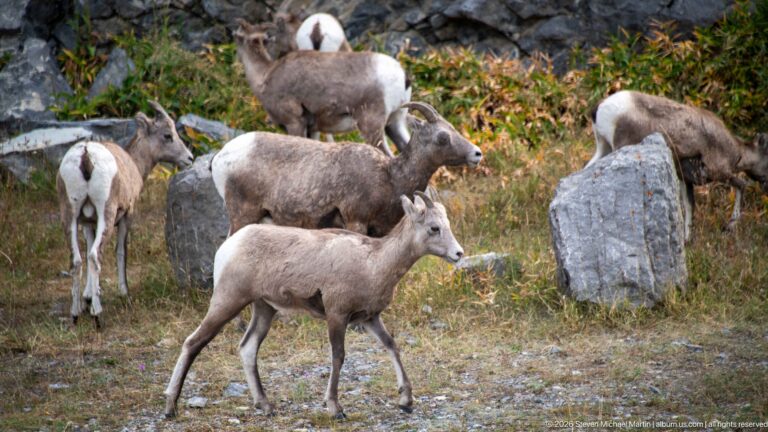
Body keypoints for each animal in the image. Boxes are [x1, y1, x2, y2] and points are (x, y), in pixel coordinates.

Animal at [57, 101, 193, 326]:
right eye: (167, 135)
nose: (189, 158)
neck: (133, 162)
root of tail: (86, 155)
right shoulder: (127, 216)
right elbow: (121, 252)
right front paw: (124, 294)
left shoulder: (87, 223)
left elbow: (87, 249)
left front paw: (88, 297)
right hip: (106, 214)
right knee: (95, 255)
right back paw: (98, 316)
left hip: (70, 216)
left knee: (76, 260)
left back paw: (75, 314)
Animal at [164, 190, 464, 419]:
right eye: (434, 228)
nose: (459, 254)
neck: (373, 262)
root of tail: (229, 247)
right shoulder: (337, 315)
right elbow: (338, 356)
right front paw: (335, 408)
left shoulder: (369, 318)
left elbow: (392, 346)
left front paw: (406, 401)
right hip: (228, 300)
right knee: (193, 342)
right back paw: (170, 407)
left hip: (264, 309)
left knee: (248, 348)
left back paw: (266, 405)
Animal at [211, 101, 483, 237]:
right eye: (442, 137)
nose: (477, 154)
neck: (390, 178)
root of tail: (220, 158)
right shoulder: (355, 222)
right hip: (242, 215)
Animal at [233, 19, 411, 157]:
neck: (265, 76)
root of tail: (403, 76)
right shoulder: (313, 129)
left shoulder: (294, 123)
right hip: (394, 122)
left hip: (372, 127)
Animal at [585, 90, 768, 241]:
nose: (765, 184)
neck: (734, 149)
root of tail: (600, 108)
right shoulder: (719, 171)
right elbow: (742, 185)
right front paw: (730, 225)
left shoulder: (685, 179)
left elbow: (688, 207)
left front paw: (687, 240)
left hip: (603, 148)